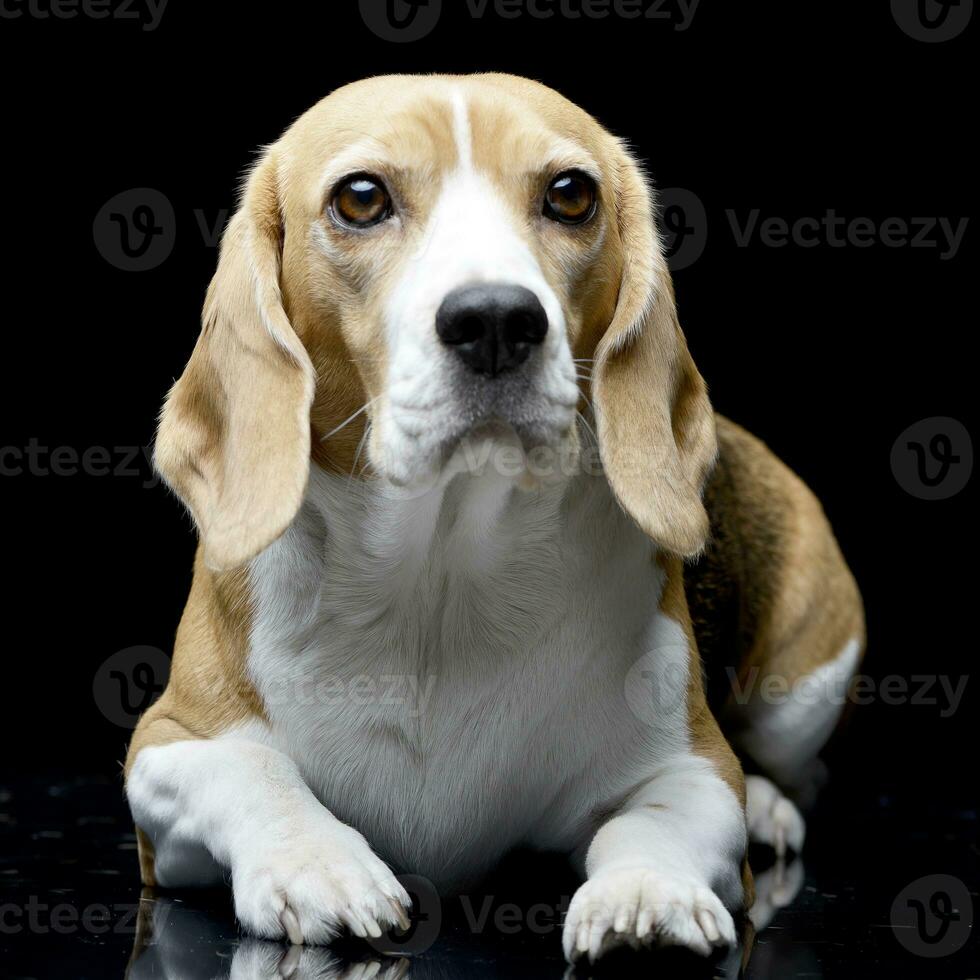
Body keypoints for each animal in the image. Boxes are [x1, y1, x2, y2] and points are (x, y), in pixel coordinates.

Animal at [124, 74, 864, 964]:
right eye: (361, 198)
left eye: (572, 194)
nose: (497, 321)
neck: (439, 582)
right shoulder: (166, 747)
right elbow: (252, 774)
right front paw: (319, 865)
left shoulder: (690, 769)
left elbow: (657, 819)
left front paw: (646, 894)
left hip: (804, 682)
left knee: (797, 769)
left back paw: (767, 804)